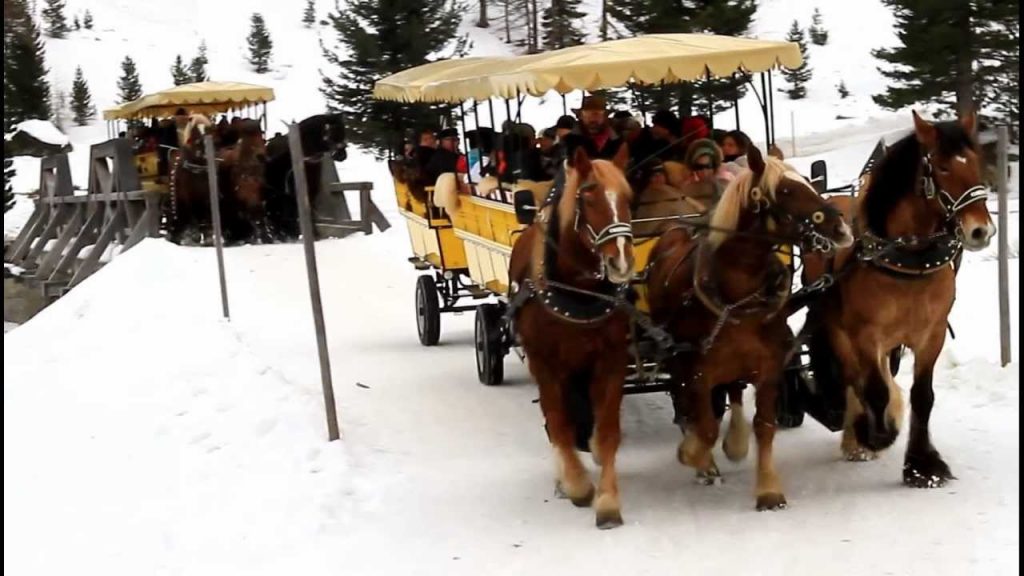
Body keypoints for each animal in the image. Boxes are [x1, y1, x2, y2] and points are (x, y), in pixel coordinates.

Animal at [507, 144, 634, 528]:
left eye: (628, 197)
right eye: (588, 196)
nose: (621, 263)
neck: (577, 291)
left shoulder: (610, 360)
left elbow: (606, 433)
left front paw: (607, 501)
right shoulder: (545, 363)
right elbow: (559, 425)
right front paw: (577, 485)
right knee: (555, 422)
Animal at [647, 143, 856, 506]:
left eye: (808, 181)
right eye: (785, 191)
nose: (841, 230)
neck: (738, 299)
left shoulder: (769, 367)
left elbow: (764, 426)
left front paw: (768, 488)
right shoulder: (698, 373)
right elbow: (705, 428)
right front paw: (695, 457)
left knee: (732, 391)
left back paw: (735, 441)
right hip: (677, 359)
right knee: (687, 404)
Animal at [802, 108, 995, 483]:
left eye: (976, 162)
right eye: (943, 167)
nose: (981, 230)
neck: (907, 260)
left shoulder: (931, 333)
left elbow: (923, 396)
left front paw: (922, 465)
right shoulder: (865, 334)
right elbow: (873, 389)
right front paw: (877, 434)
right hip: (838, 330)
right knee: (853, 378)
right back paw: (858, 438)